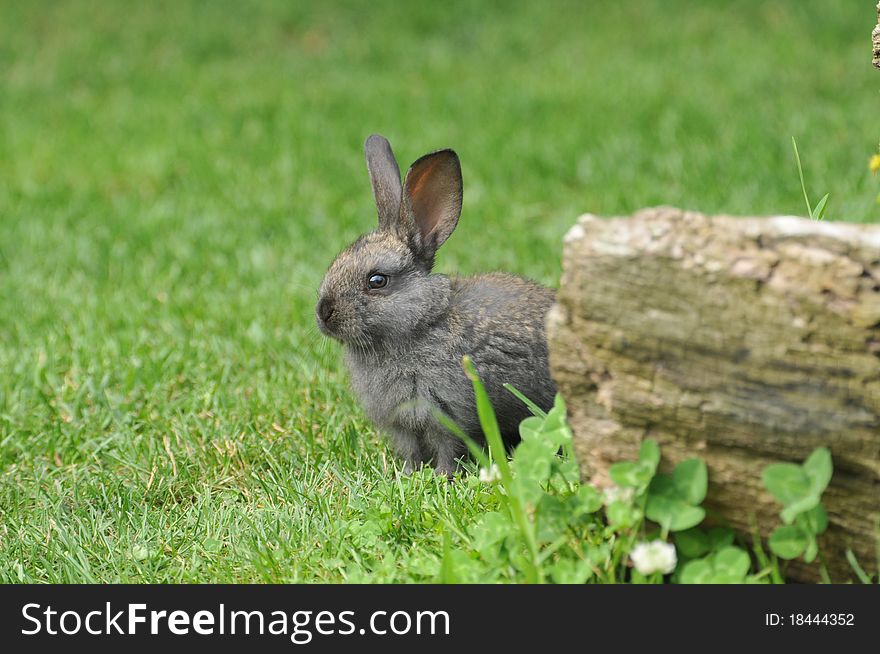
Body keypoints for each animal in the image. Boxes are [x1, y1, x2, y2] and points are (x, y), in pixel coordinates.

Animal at [316, 136, 556, 480]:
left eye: (377, 280)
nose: (323, 313)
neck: (419, 325)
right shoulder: (402, 423)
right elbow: (410, 451)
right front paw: (406, 476)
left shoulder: (447, 413)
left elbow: (447, 448)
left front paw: (442, 477)